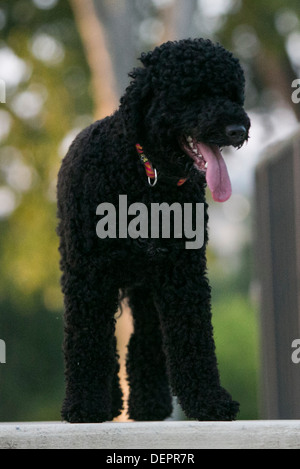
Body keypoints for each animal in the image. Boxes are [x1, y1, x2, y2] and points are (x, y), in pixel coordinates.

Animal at [57, 38, 250, 422]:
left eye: (232, 94)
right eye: (193, 94)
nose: (238, 129)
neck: (144, 179)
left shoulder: (183, 273)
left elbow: (193, 336)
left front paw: (209, 400)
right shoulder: (87, 276)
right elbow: (87, 341)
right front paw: (84, 405)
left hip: (146, 287)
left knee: (145, 339)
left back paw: (150, 404)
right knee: (105, 340)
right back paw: (110, 402)